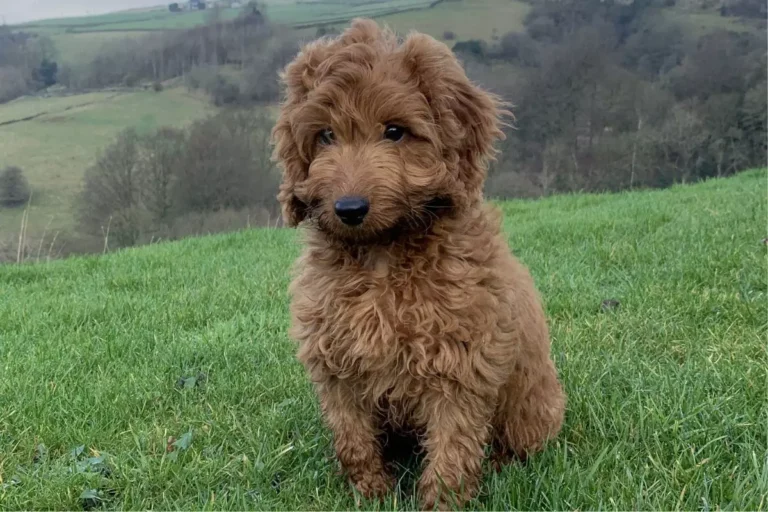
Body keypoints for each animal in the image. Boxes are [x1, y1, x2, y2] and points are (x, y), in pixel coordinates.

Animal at [270, 18, 564, 510]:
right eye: (326, 135)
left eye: (395, 131)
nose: (349, 208)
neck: (381, 256)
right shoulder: (336, 366)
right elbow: (353, 439)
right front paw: (370, 492)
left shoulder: (459, 366)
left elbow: (451, 450)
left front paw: (441, 502)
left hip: (534, 409)